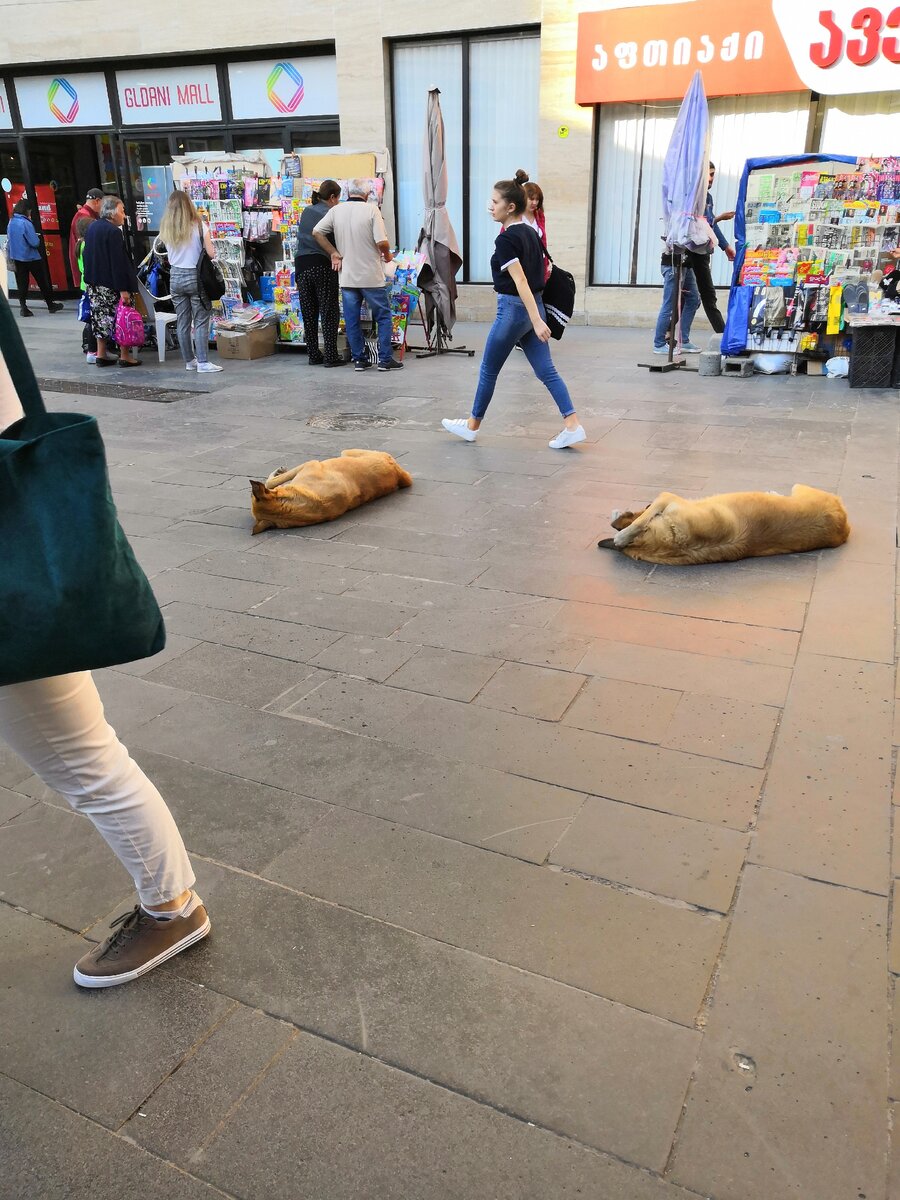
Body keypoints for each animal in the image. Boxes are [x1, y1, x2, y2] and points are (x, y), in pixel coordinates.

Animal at [600, 482, 854, 566]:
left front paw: (624, 532)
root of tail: (844, 525)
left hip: (800, 487)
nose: (645, 503)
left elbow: (641, 520)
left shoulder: (668, 498)